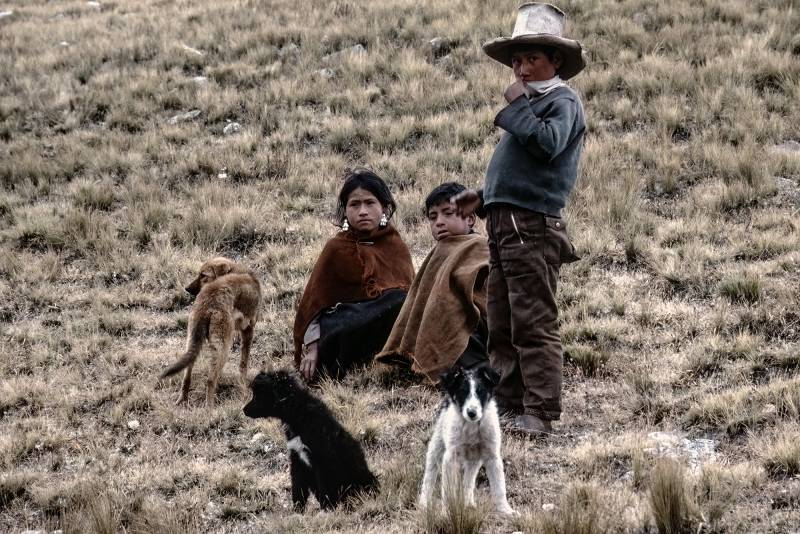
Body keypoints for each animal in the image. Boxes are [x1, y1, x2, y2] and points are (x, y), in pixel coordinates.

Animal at [160, 258, 262, 408]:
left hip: (192, 340)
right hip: (223, 348)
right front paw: (243, 387)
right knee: (210, 380)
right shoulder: (248, 330)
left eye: (203, 275)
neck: (238, 271)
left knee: (187, 375)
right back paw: (210, 407)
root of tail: (208, 302)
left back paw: (183, 399)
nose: (187, 289)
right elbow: (243, 364)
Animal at [242, 372, 380, 516]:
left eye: (258, 395)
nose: (244, 410)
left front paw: (326, 512)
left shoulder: (322, 460)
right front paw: (297, 512)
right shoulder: (297, 456)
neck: (297, 414)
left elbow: (324, 488)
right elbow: (298, 488)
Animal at [422, 366, 516, 516]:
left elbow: (499, 487)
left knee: (469, 480)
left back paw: (468, 503)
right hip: (437, 445)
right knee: (429, 476)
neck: (472, 426)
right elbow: (448, 489)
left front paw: (506, 511)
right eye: (462, 392)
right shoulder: (451, 457)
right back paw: (423, 504)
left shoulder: (492, 456)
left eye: (481, 391)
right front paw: (447, 512)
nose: (472, 413)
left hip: (474, 459)